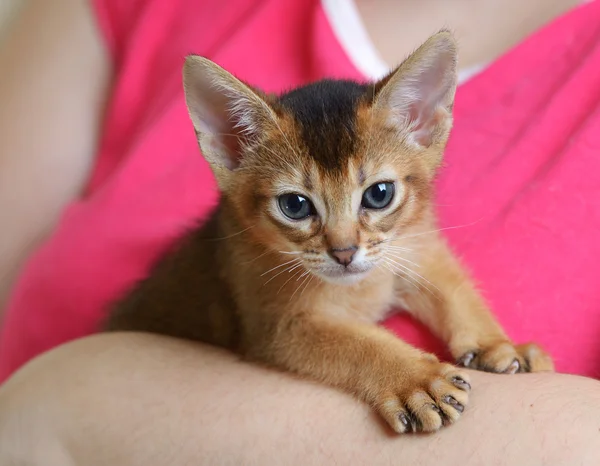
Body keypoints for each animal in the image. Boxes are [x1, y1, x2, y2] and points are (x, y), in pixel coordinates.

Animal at [106, 31, 552, 434]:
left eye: (379, 194)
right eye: (295, 205)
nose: (344, 252)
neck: (363, 285)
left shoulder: (414, 248)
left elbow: (454, 291)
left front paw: (497, 345)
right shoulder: (278, 328)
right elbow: (358, 343)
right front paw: (415, 379)